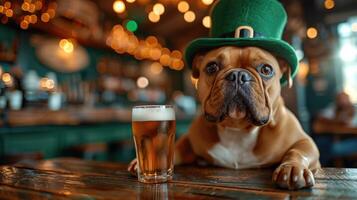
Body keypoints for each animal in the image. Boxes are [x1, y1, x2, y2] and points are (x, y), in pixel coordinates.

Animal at [129, 46, 322, 190]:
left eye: (266, 69)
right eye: (211, 67)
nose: (238, 75)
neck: (237, 128)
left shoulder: (305, 141)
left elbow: (297, 151)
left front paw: (292, 168)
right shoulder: (188, 141)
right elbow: (173, 149)